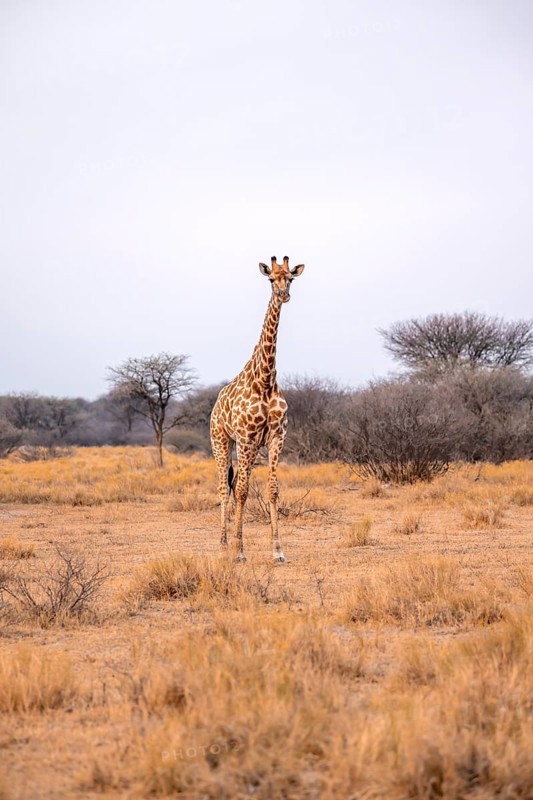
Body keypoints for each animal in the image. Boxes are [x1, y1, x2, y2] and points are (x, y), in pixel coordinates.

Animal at [210, 256, 305, 563]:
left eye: (291, 278)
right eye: (271, 279)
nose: (284, 295)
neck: (264, 380)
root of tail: (216, 403)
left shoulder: (277, 438)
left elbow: (273, 490)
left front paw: (278, 551)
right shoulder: (247, 438)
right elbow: (242, 492)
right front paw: (240, 551)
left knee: (232, 485)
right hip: (222, 441)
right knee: (224, 489)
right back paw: (223, 545)